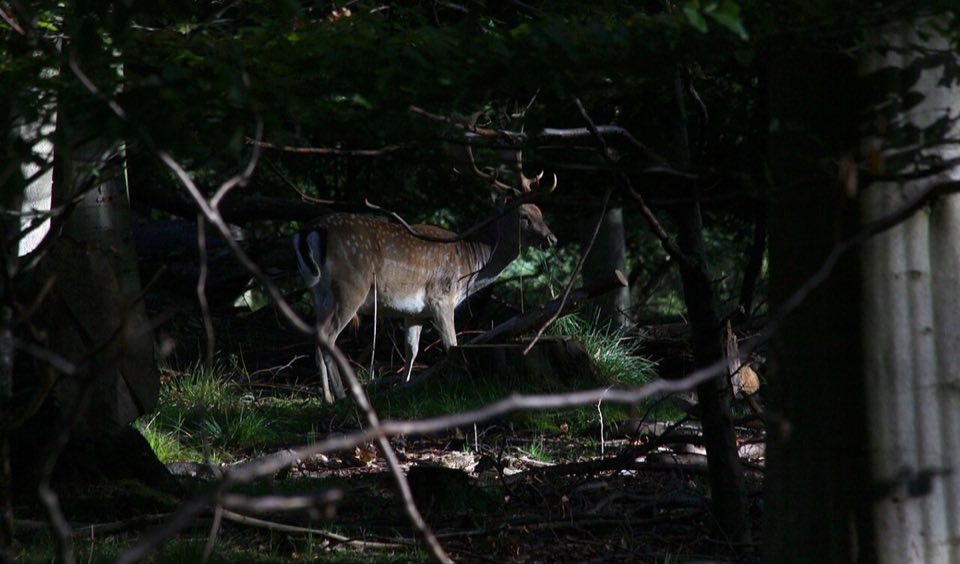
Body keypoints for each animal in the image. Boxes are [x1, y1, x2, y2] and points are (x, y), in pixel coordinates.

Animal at [294, 149, 557, 402]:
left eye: (540, 212)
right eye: (524, 216)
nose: (552, 238)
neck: (469, 265)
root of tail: (309, 231)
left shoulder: (414, 312)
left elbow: (412, 350)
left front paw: (405, 387)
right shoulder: (441, 297)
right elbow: (452, 345)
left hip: (318, 292)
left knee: (316, 335)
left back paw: (327, 397)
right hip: (350, 286)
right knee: (328, 336)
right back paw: (340, 396)